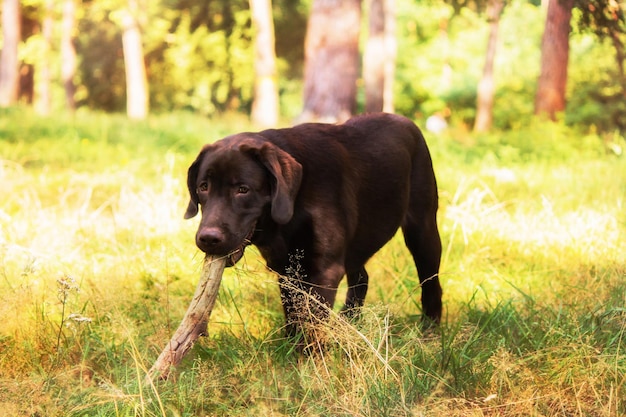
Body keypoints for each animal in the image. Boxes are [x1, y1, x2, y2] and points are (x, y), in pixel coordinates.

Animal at [183, 113, 442, 338]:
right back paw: (348, 324)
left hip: (423, 231)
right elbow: (294, 316)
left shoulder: (324, 271)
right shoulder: (287, 271)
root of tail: (406, 121)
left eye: (243, 189)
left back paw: (429, 331)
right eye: (203, 187)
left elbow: (311, 324)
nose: (208, 238)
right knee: (361, 278)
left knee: (431, 284)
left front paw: (308, 359)